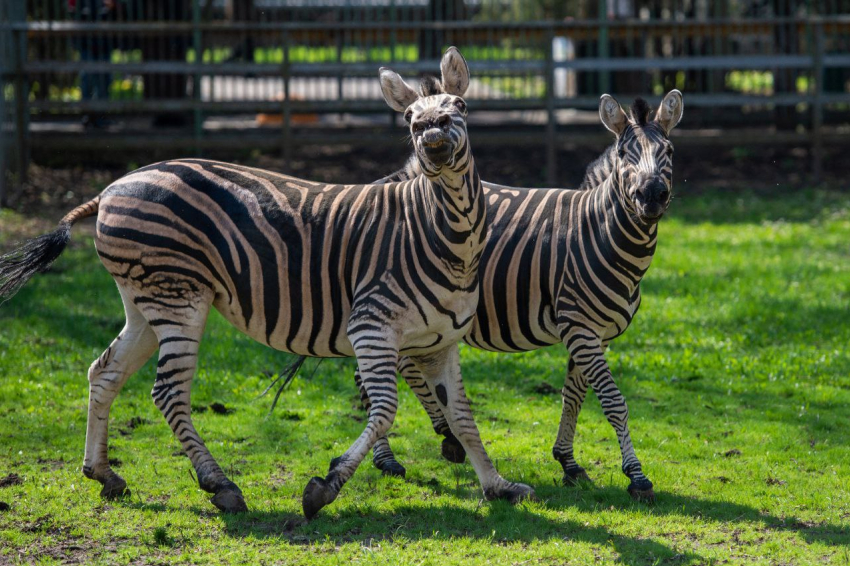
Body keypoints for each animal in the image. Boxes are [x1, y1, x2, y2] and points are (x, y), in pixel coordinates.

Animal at [0, 47, 528, 520]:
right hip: (178, 297)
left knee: (104, 372)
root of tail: (111, 187)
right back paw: (220, 485)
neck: (443, 236)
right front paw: (325, 487)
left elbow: (464, 418)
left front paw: (498, 486)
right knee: (168, 393)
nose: (430, 131)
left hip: (143, 301)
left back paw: (103, 474)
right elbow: (384, 412)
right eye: (409, 119)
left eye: (459, 107)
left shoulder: (442, 343)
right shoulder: (370, 327)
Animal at [284, 89, 684, 502]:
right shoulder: (579, 326)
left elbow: (573, 395)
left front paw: (568, 463)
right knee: (377, 376)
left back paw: (439, 439)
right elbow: (614, 401)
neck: (599, 233)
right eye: (624, 154)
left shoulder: (594, 333)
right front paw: (636, 476)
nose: (652, 196)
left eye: (669, 150)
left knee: (401, 369)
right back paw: (392, 457)